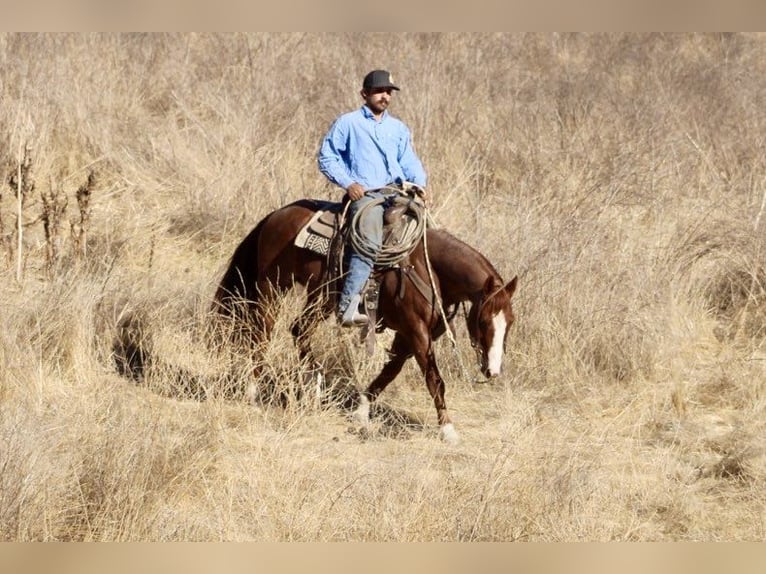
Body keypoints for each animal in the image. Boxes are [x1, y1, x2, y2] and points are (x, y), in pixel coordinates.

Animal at [212, 198, 518, 444]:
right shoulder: (416, 331)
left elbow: (390, 371)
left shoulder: (409, 335)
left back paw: (315, 385)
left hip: (321, 297)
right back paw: (254, 389)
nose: (493, 370)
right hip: (272, 287)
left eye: (510, 323)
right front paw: (448, 429)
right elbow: (434, 379)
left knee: (299, 330)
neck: (428, 268)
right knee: (263, 331)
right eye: (483, 321)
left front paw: (361, 410)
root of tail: (277, 215)